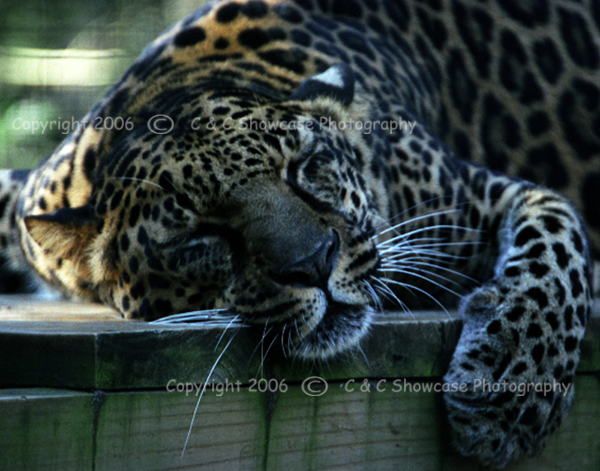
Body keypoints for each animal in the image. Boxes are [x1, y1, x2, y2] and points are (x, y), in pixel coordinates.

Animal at [0, 0, 596, 466]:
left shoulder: (480, 194)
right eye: (197, 236)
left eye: (304, 166)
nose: (315, 263)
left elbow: (557, 244)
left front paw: (512, 389)